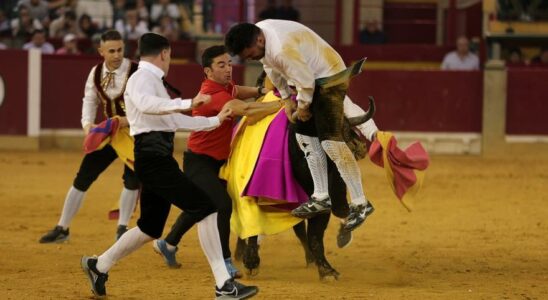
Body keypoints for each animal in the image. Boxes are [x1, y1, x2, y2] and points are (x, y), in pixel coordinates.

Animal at [233, 96, 374, 282]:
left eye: (344, 130)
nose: (359, 147)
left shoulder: (322, 204)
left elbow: (315, 236)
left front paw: (326, 270)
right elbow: (253, 225)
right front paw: (250, 262)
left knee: (300, 229)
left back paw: (311, 258)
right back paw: (241, 255)